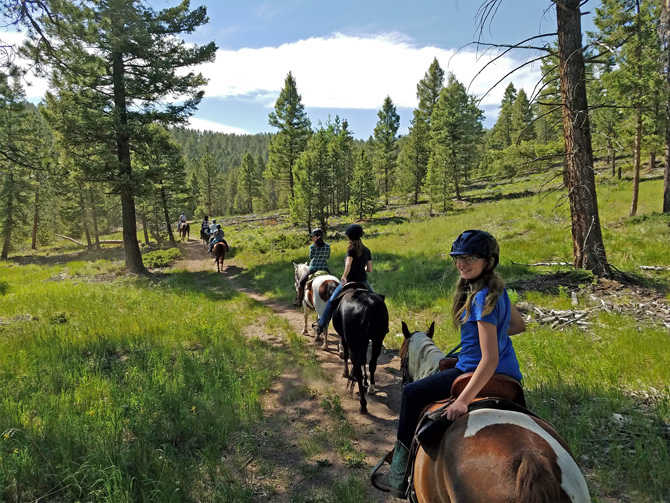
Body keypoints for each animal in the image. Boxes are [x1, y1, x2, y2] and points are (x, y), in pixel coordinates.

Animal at [330, 286, 388, 416]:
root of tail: (368, 305)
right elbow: (364, 360)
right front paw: (366, 381)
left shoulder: (346, 339)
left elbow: (346, 356)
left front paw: (346, 373)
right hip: (378, 339)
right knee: (372, 363)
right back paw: (371, 387)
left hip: (353, 342)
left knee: (356, 368)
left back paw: (363, 405)